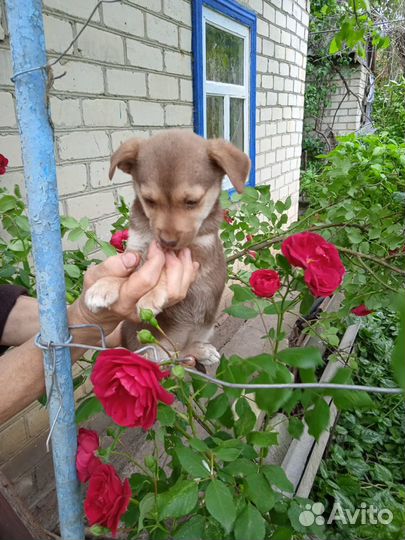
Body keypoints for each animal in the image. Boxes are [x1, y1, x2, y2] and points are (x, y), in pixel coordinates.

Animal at [85, 131, 249, 368]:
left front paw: (151, 295)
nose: (167, 241)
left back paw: (203, 351)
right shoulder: (135, 249)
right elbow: (129, 273)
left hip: (202, 329)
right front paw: (102, 286)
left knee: (184, 353)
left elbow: (163, 272)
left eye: (192, 202)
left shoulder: (200, 251)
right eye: (149, 200)